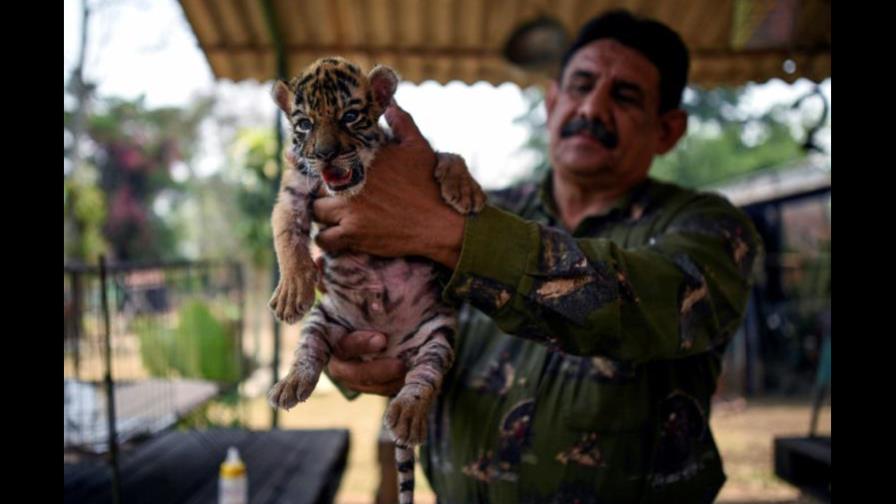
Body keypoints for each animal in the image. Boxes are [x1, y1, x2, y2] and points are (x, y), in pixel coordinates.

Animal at [266, 56, 486, 504]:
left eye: (350, 116)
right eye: (304, 124)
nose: (325, 154)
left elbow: (447, 155)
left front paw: (466, 192)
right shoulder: (293, 189)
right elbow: (286, 236)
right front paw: (292, 292)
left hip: (437, 334)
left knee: (424, 378)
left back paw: (407, 415)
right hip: (326, 321)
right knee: (308, 353)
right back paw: (290, 385)